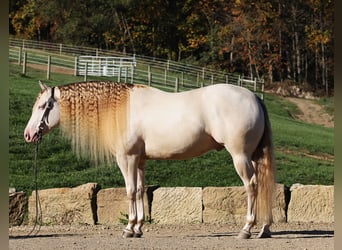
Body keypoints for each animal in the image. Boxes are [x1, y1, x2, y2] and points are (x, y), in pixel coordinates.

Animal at [24, 80, 276, 238]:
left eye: (43, 106)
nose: (28, 135)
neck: (119, 110)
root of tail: (254, 97)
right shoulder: (140, 160)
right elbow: (140, 190)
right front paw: (138, 227)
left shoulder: (126, 159)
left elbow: (129, 191)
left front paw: (129, 228)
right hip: (254, 157)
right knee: (264, 186)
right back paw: (264, 229)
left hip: (240, 156)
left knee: (252, 186)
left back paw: (246, 229)